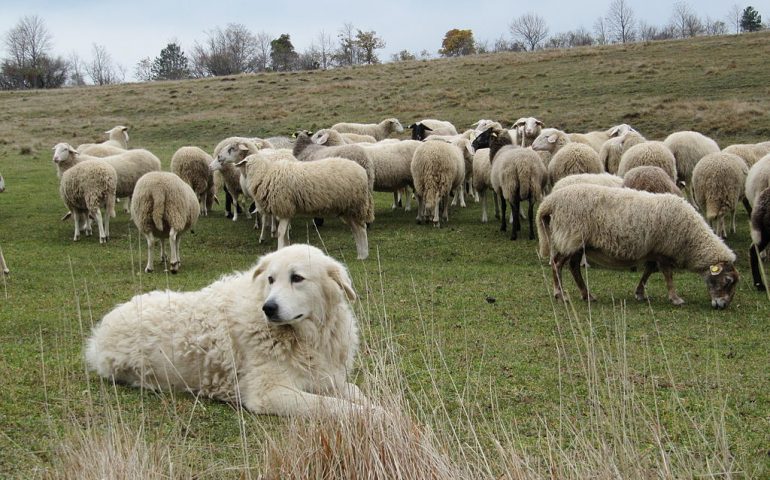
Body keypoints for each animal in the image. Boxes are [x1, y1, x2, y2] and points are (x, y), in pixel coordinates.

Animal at [85, 244, 370, 416]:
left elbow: (355, 393)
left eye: (297, 278)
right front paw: (375, 416)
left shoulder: (323, 377)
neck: (304, 336)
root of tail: (100, 330)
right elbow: (337, 406)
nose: (268, 308)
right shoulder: (269, 393)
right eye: (270, 279)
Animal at [240, 154, 372, 258]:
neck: (264, 174)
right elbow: (285, 233)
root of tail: (362, 171)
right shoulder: (288, 210)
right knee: (356, 229)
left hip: (356, 206)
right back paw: (361, 254)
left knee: (361, 228)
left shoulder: (284, 207)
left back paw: (363, 255)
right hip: (347, 209)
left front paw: (280, 249)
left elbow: (281, 232)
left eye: (245, 164)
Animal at [536, 184, 736, 308]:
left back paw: (587, 295)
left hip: (578, 242)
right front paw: (675, 298)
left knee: (574, 267)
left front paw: (640, 293)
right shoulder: (663, 250)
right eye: (727, 281)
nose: (723, 306)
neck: (692, 239)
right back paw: (560, 294)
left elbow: (649, 271)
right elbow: (667, 275)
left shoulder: (654, 250)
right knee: (557, 264)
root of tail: (550, 202)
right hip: (571, 236)